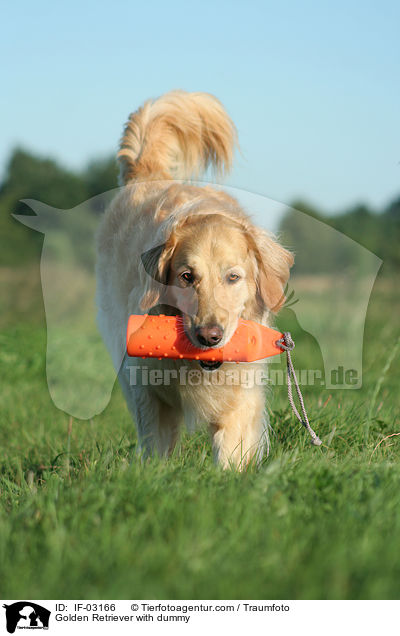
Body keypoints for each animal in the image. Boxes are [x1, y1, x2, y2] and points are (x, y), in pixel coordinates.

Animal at [95, 88, 292, 468]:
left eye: (233, 277)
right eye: (187, 277)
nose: (210, 336)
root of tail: (148, 175)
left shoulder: (240, 394)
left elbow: (231, 447)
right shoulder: (146, 388)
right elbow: (156, 443)